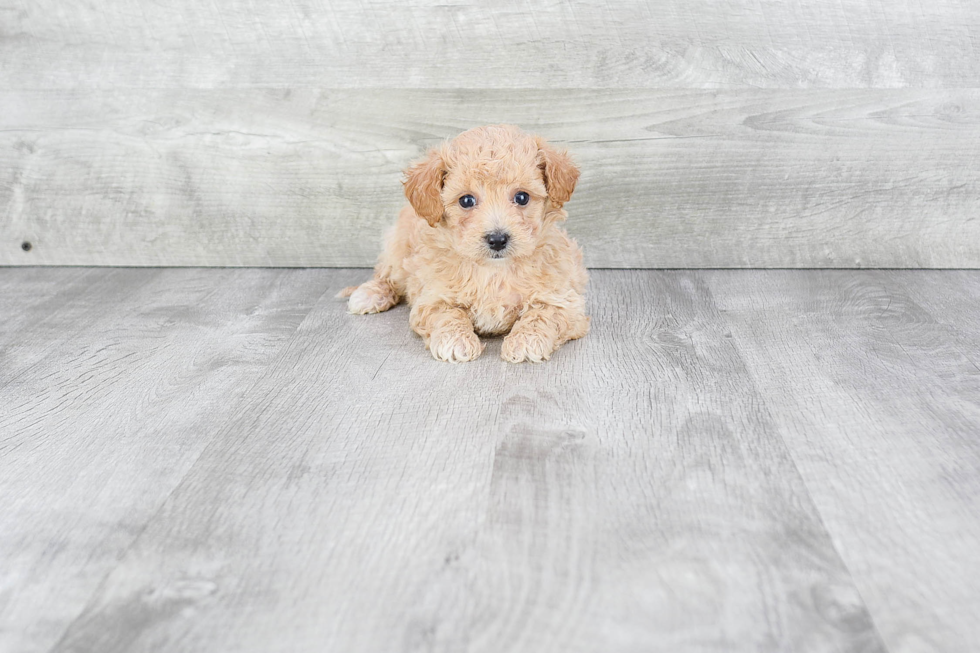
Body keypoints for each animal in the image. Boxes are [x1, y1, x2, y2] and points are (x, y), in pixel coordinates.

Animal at [342, 123, 588, 362]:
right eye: (466, 201)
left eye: (522, 197)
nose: (497, 239)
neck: (494, 272)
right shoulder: (433, 297)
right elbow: (448, 314)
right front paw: (455, 341)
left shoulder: (564, 301)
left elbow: (542, 315)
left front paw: (526, 341)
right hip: (398, 250)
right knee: (387, 275)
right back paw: (369, 295)